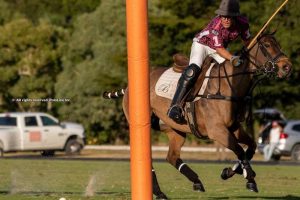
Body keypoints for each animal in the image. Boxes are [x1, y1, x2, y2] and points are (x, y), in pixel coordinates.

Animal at [104, 33, 292, 199]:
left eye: (278, 43)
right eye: (267, 45)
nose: (287, 67)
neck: (227, 86)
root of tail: (128, 87)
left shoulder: (233, 127)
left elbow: (250, 147)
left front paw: (230, 172)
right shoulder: (217, 130)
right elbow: (239, 149)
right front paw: (249, 176)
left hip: (174, 129)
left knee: (171, 156)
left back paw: (196, 181)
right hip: (143, 125)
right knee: (146, 158)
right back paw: (160, 193)